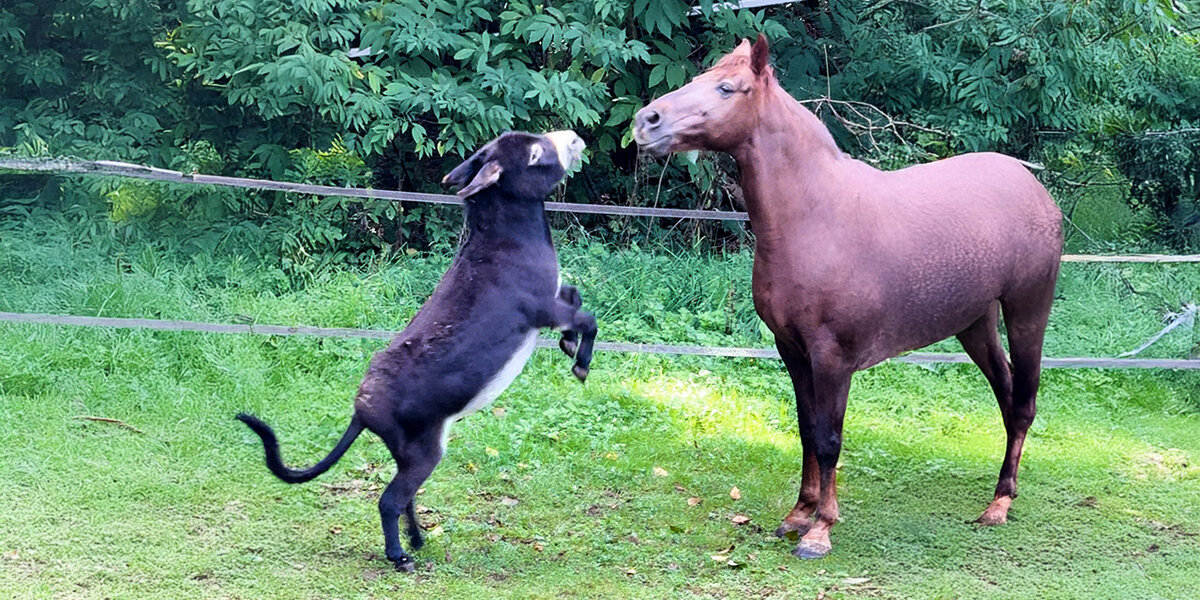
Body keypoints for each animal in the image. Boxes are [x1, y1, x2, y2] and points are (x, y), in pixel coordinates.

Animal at [633, 35, 1062, 559]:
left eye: (726, 88)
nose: (646, 121)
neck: (816, 216)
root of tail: (1031, 184)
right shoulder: (792, 351)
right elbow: (806, 430)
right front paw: (798, 514)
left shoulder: (832, 358)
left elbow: (830, 439)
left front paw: (820, 530)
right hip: (974, 324)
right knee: (1006, 395)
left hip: (1027, 313)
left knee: (1022, 403)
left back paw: (999, 504)